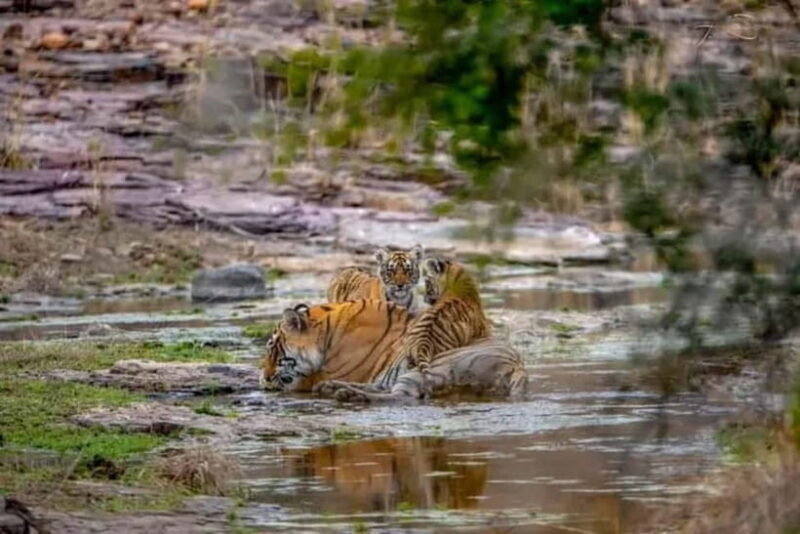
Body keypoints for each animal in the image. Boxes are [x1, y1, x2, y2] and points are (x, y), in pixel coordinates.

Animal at [260, 299, 527, 402]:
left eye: (272, 349)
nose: (264, 377)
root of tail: (517, 366)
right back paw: (335, 388)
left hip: (434, 367)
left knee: (401, 397)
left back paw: (348, 394)